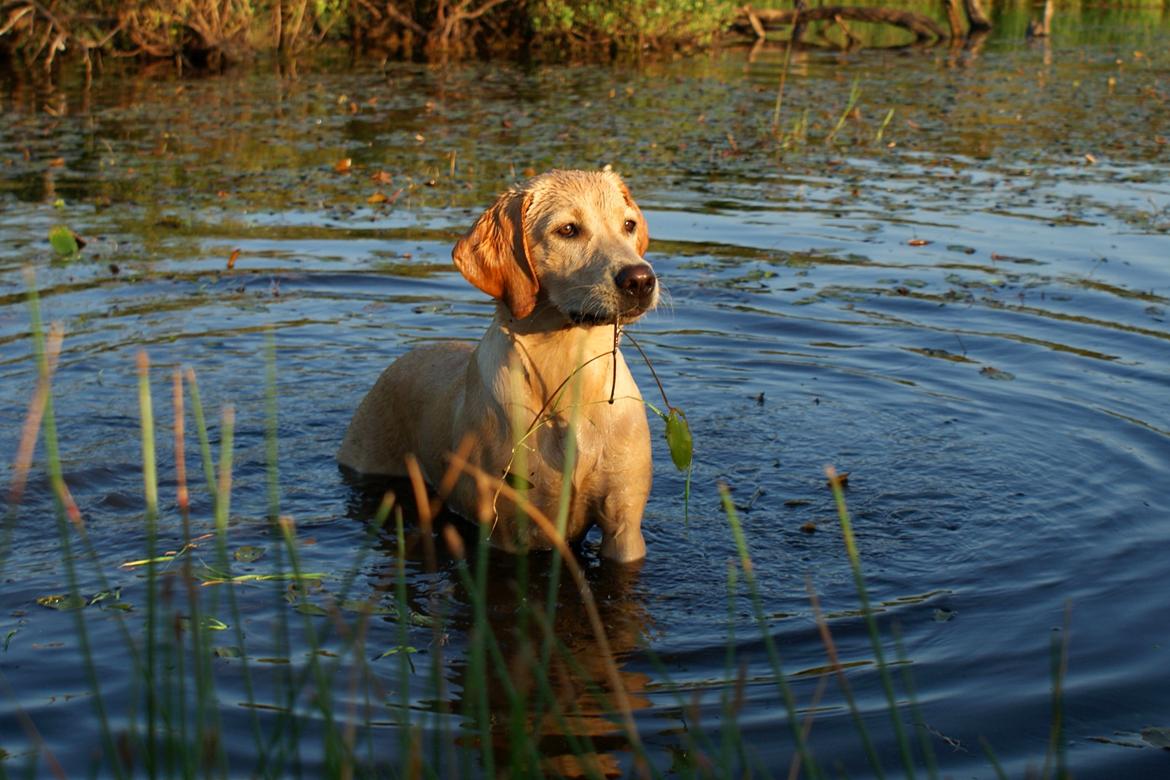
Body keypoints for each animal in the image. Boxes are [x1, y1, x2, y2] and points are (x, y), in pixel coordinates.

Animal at [336, 169, 659, 561]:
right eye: (568, 230)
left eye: (628, 225)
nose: (640, 279)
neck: (567, 380)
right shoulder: (508, 532)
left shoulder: (624, 526)